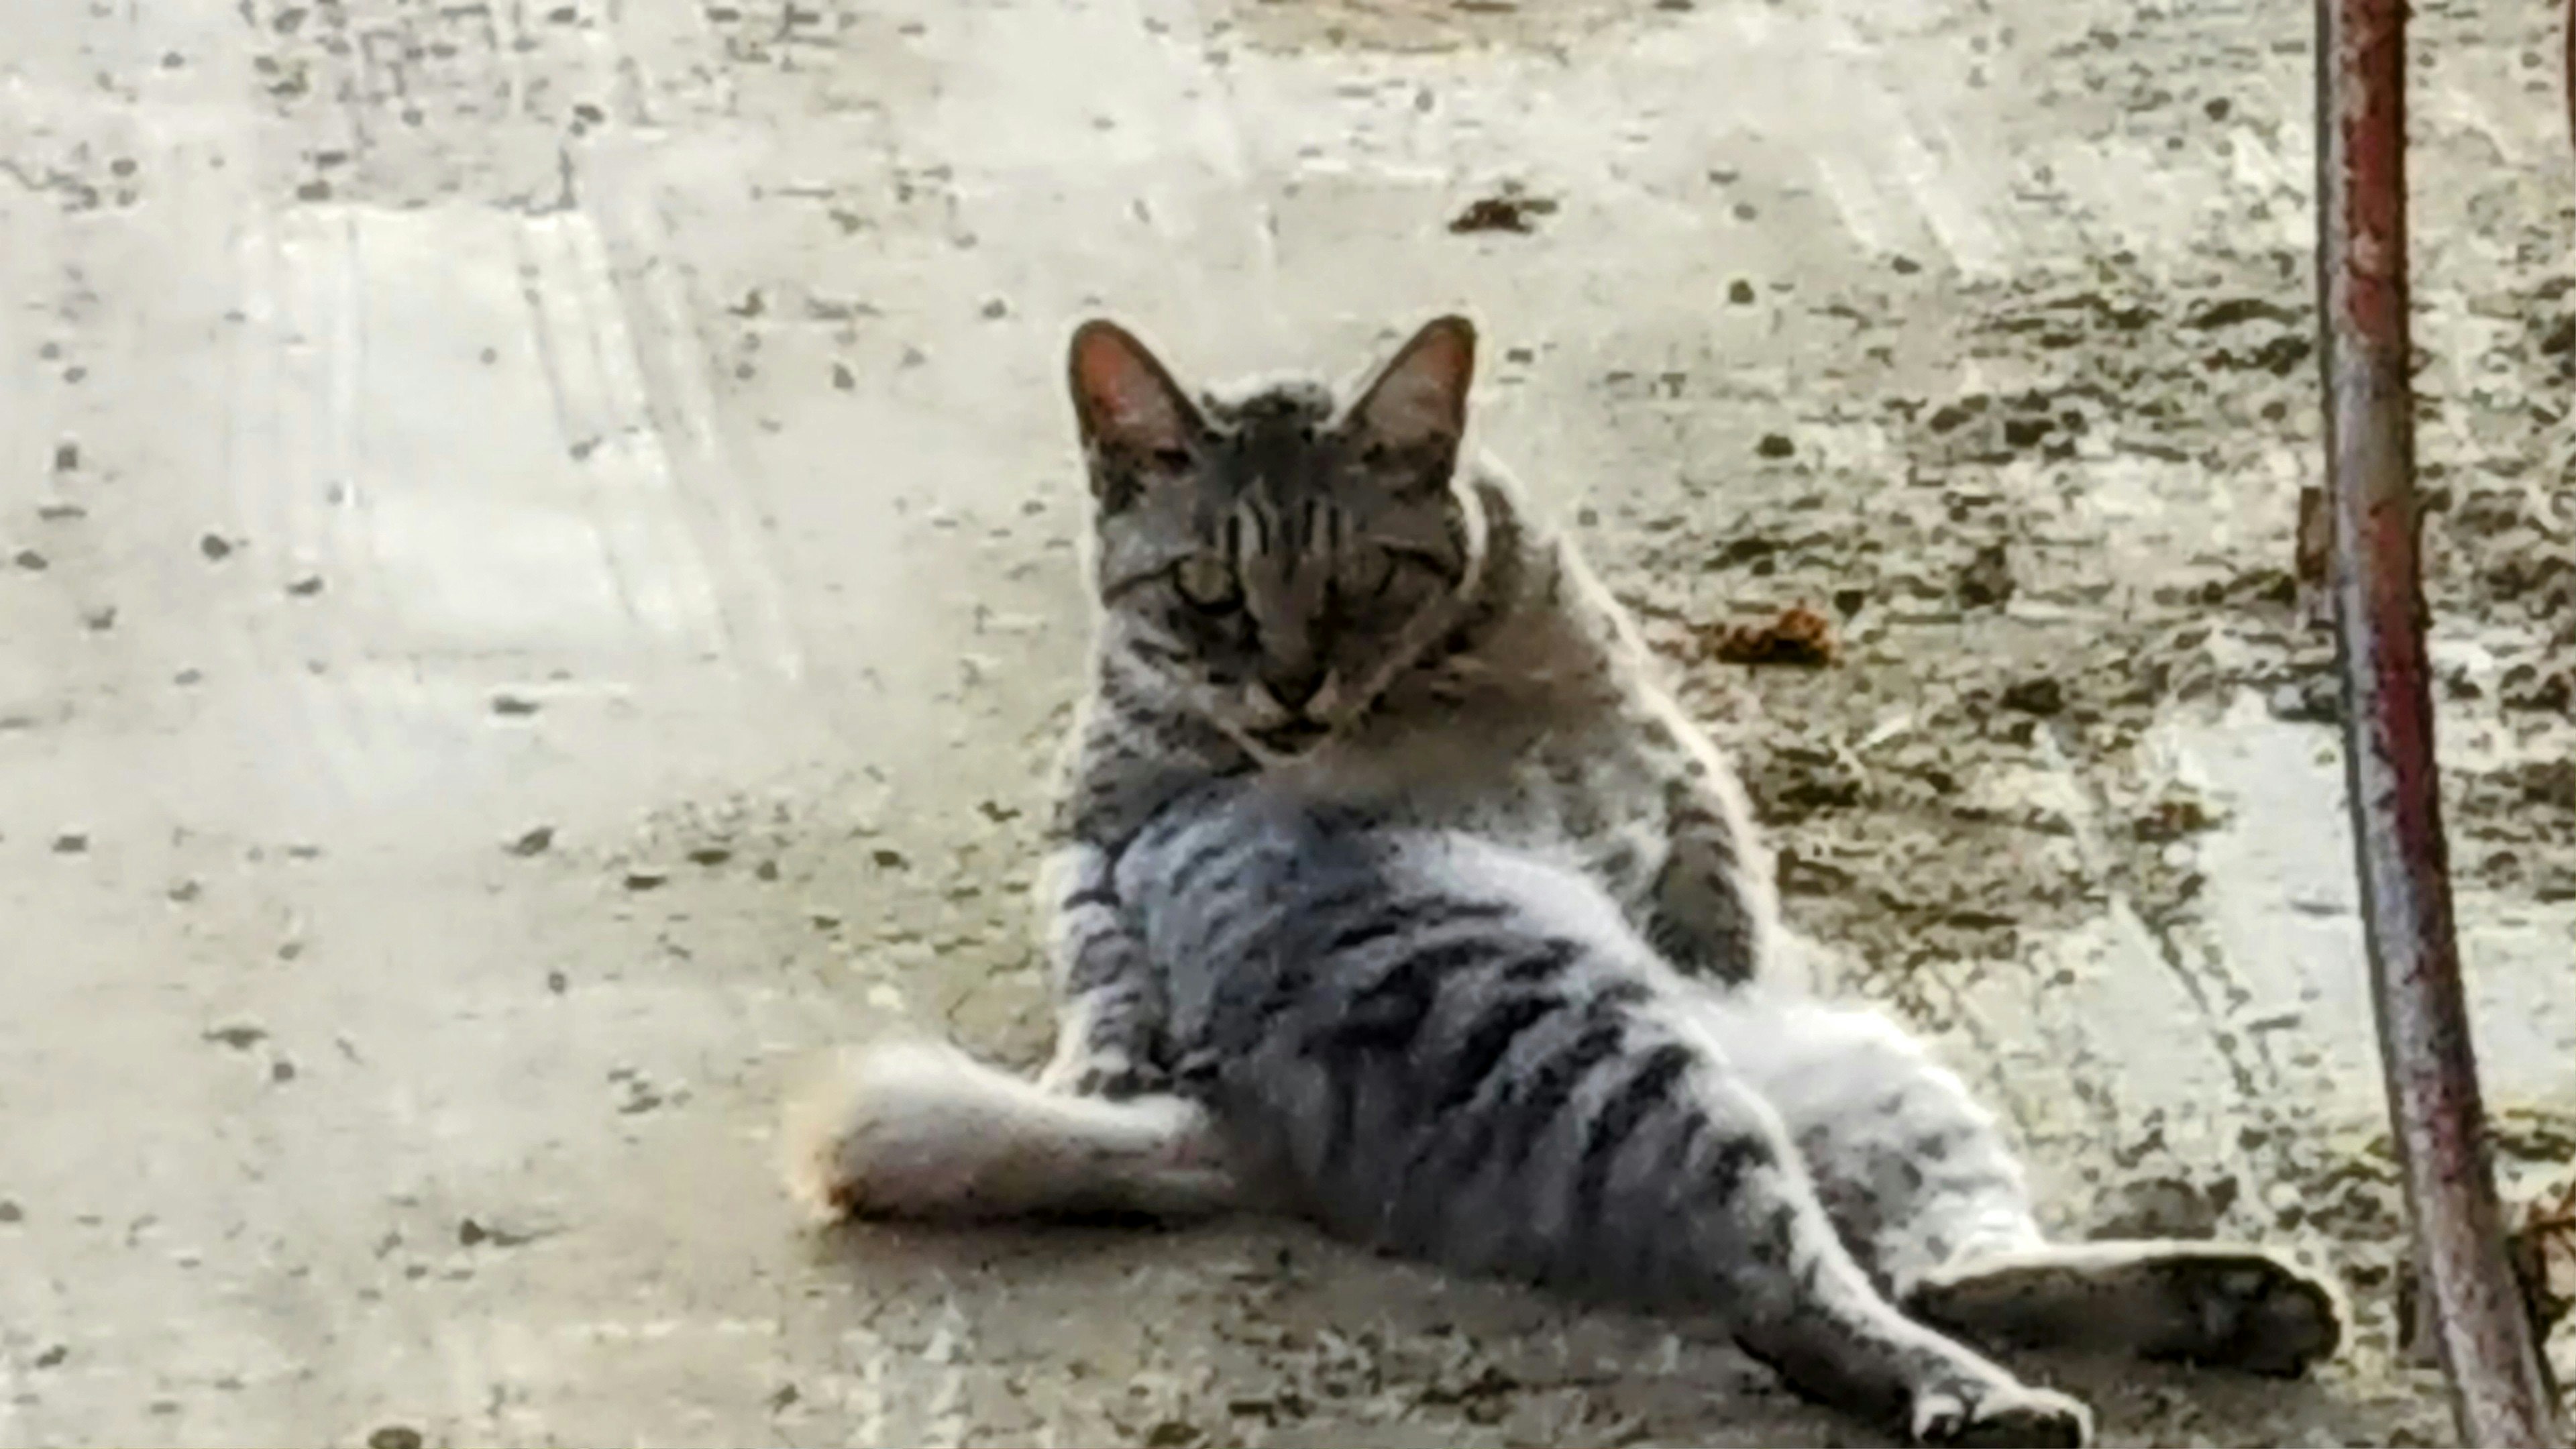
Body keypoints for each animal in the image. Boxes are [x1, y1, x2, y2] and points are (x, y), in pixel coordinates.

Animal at [793, 778, 2349, 1444]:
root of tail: (1228, 1105)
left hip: (1851, 1062)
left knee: (1933, 1267)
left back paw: (2214, 1302)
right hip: (1603, 1047)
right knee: (1795, 1301)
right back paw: (1977, 1400)